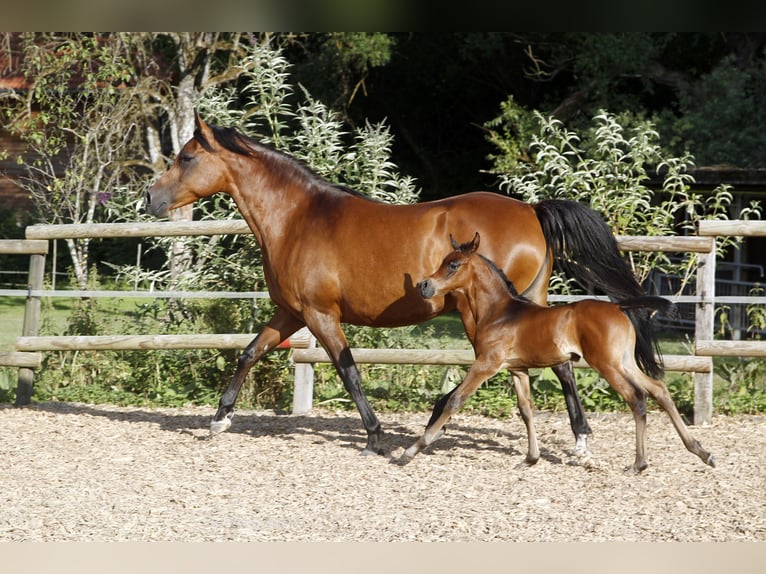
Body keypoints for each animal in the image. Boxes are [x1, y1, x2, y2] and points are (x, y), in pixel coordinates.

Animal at [404, 232, 716, 474]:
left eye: (453, 265)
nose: (424, 285)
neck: (499, 313)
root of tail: (618, 306)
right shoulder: (517, 369)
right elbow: (526, 410)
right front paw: (531, 458)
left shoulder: (487, 364)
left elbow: (454, 400)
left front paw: (413, 449)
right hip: (624, 361)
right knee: (659, 390)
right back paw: (702, 451)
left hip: (607, 364)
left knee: (637, 397)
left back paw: (639, 464)